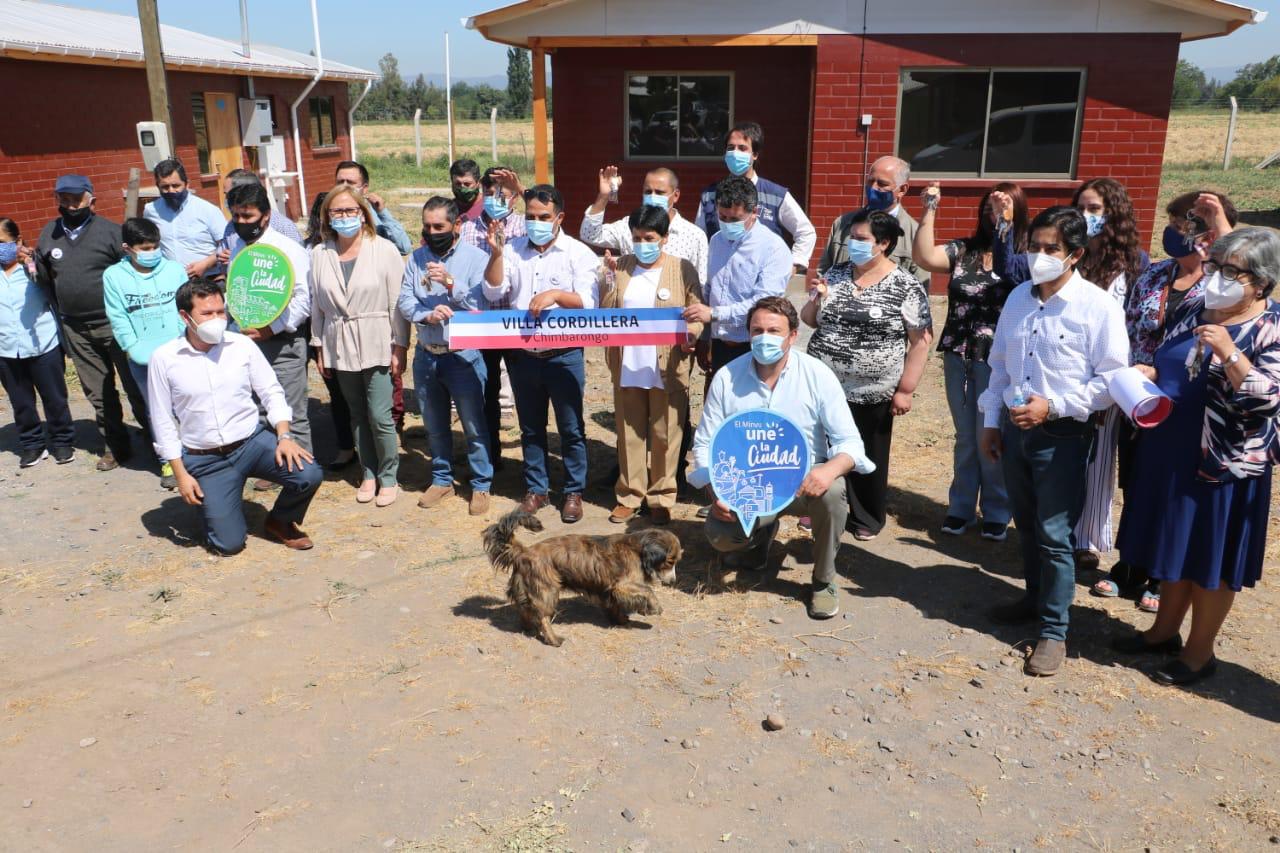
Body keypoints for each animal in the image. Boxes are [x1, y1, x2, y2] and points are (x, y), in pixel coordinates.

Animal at [481, 504, 680, 645]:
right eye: (670, 562)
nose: (673, 581)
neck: (638, 548)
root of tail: (524, 551)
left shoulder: (609, 588)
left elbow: (615, 605)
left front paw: (620, 619)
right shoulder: (622, 585)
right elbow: (647, 590)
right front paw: (655, 607)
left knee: (526, 609)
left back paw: (528, 627)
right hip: (547, 590)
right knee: (543, 616)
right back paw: (553, 639)